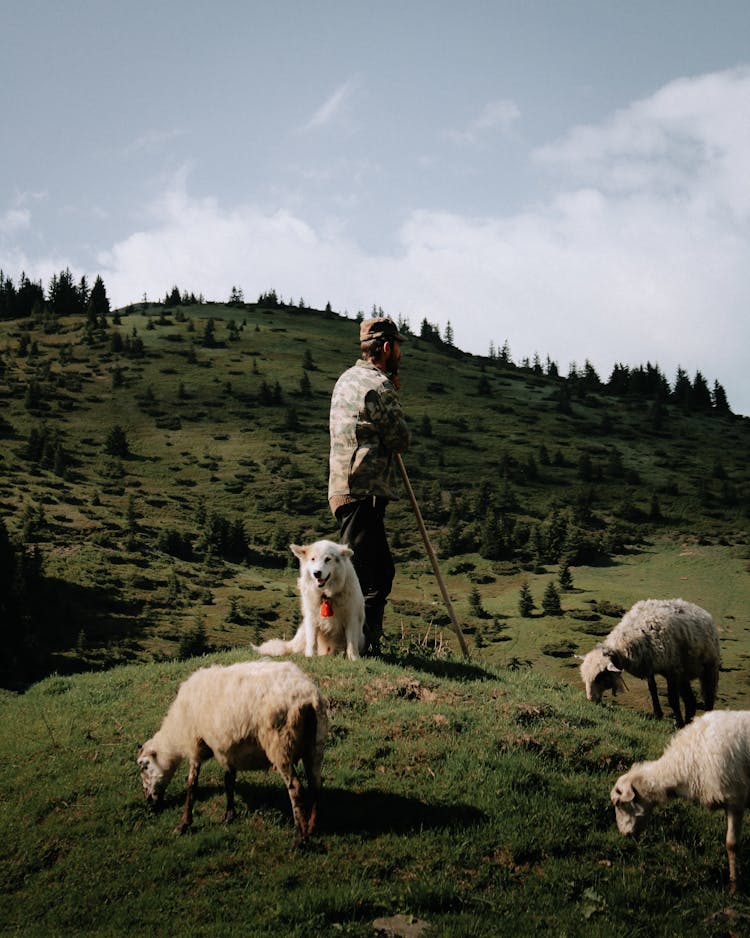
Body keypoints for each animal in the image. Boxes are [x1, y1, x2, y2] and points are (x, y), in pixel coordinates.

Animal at [137, 660, 328, 840]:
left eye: (144, 766)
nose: (148, 799)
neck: (176, 730)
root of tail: (306, 696)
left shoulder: (196, 745)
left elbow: (192, 784)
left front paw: (184, 824)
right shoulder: (228, 749)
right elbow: (229, 780)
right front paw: (229, 815)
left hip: (281, 745)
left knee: (295, 788)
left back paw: (300, 837)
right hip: (315, 745)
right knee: (315, 784)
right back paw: (312, 827)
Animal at [580, 600, 724, 724]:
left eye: (600, 677)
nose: (590, 700)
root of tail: (702, 612)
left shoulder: (672, 670)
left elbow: (672, 699)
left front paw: (678, 723)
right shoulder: (650, 666)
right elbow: (653, 691)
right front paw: (658, 715)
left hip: (709, 667)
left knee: (708, 698)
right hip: (684, 674)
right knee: (690, 702)